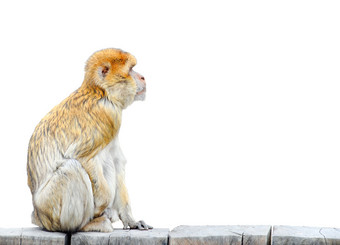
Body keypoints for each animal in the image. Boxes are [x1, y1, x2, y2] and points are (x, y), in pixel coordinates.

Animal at [27, 48, 152, 234]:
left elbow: (117, 162)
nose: (143, 77)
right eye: (131, 70)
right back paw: (85, 224)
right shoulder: (108, 114)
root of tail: (38, 216)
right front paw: (102, 208)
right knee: (71, 168)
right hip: (50, 207)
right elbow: (83, 157)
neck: (102, 92)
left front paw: (131, 220)